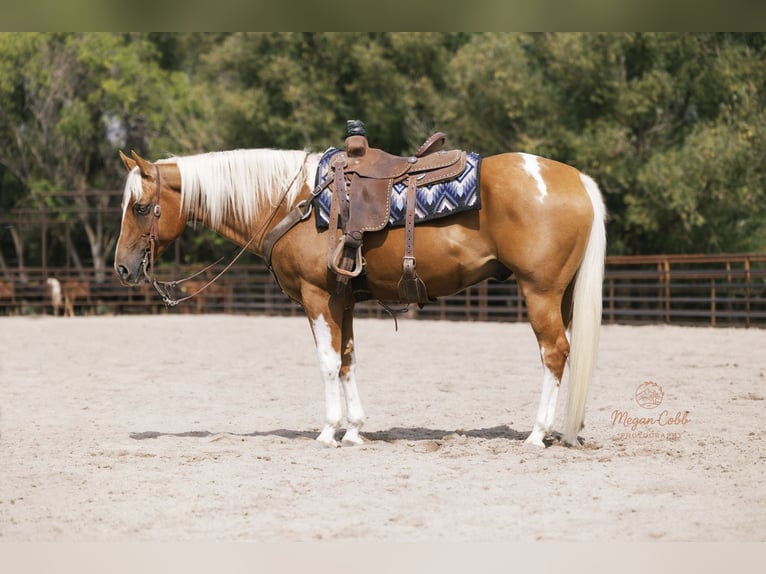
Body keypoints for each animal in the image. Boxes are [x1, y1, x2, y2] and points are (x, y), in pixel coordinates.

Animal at [114, 145, 606, 448]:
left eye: (140, 207)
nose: (122, 267)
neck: (291, 203)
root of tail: (577, 178)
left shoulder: (316, 298)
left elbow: (328, 362)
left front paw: (328, 431)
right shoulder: (343, 301)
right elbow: (348, 359)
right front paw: (354, 431)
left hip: (539, 291)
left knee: (553, 353)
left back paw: (537, 434)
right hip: (559, 295)